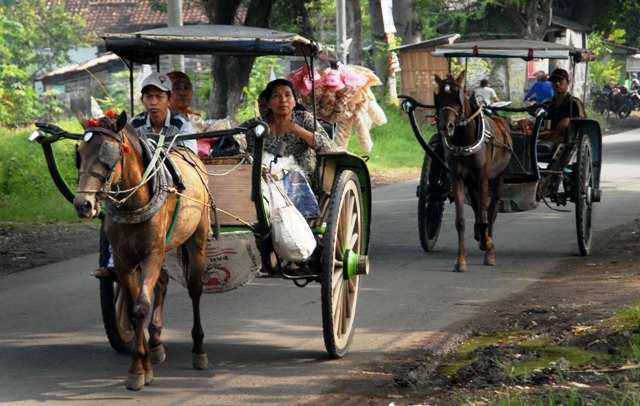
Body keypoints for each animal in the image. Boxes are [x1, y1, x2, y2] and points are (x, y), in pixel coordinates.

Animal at [74, 112, 210, 390]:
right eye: (79, 153)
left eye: (108, 154)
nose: (83, 204)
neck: (134, 202)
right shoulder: (124, 261)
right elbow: (134, 306)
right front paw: (142, 364)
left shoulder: (151, 255)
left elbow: (140, 307)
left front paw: (137, 368)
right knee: (163, 282)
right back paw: (156, 344)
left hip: (197, 238)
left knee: (195, 289)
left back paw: (198, 349)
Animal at [432, 72, 512, 272]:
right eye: (439, 97)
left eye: (457, 97)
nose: (446, 127)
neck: (464, 139)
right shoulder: (458, 178)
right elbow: (460, 221)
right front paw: (460, 260)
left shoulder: (483, 177)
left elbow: (485, 215)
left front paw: (489, 249)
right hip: (471, 181)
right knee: (478, 207)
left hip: (498, 177)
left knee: (491, 210)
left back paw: (488, 243)